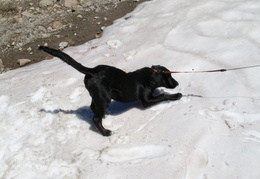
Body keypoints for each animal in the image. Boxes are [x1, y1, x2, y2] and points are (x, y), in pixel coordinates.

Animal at [38, 46, 182, 136]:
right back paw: (106, 132)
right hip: (104, 98)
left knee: (93, 108)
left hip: (97, 96)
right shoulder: (146, 101)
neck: (149, 76)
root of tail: (92, 71)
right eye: (168, 77)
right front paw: (176, 95)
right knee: (95, 119)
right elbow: (162, 96)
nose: (177, 83)